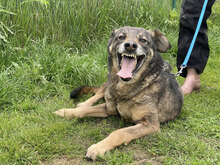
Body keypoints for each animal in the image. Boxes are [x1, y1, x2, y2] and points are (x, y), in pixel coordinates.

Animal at [54, 26, 183, 160]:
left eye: (143, 40)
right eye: (121, 37)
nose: (130, 46)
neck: (125, 88)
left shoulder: (150, 124)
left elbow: (119, 132)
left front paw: (98, 148)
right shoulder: (109, 108)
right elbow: (85, 110)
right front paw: (66, 112)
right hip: (108, 83)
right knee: (100, 92)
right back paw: (84, 103)